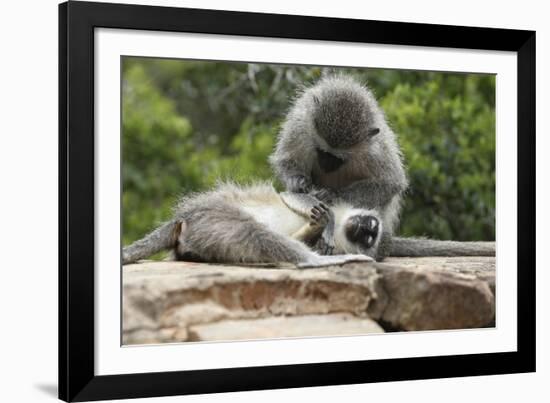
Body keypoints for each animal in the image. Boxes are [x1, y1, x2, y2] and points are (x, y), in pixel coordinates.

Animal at [123, 184, 384, 268]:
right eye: (369, 227)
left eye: (369, 238)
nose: (365, 229)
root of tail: (184, 218)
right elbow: (291, 196)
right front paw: (325, 221)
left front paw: (316, 227)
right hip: (213, 215)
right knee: (251, 231)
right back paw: (313, 260)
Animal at [270, 74, 496, 260]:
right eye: (322, 152)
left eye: (338, 158)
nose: (326, 165)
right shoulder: (300, 125)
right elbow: (285, 159)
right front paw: (298, 182)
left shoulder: (376, 149)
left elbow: (390, 184)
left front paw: (330, 195)